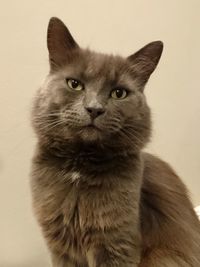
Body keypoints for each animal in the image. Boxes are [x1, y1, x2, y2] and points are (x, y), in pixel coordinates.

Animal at [30, 17, 200, 266]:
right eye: (74, 84)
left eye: (119, 93)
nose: (94, 109)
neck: (80, 168)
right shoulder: (61, 246)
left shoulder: (116, 243)